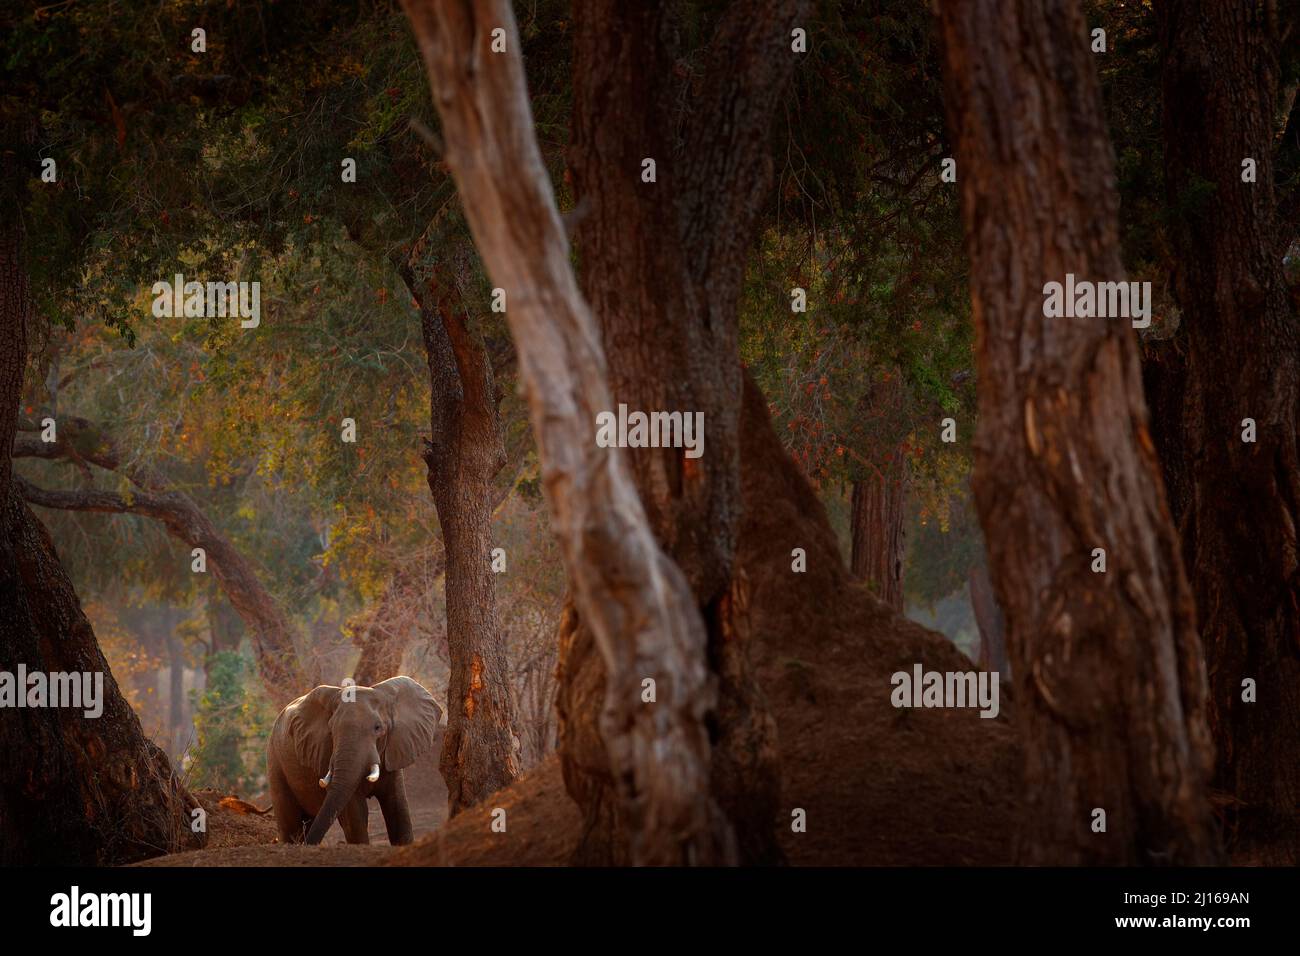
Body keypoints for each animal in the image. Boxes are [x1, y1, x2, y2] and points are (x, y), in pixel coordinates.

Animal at [266, 671, 444, 842]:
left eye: (378, 727)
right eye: (331, 730)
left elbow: (398, 809)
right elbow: (355, 815)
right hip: (275, 761)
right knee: (290, 826)